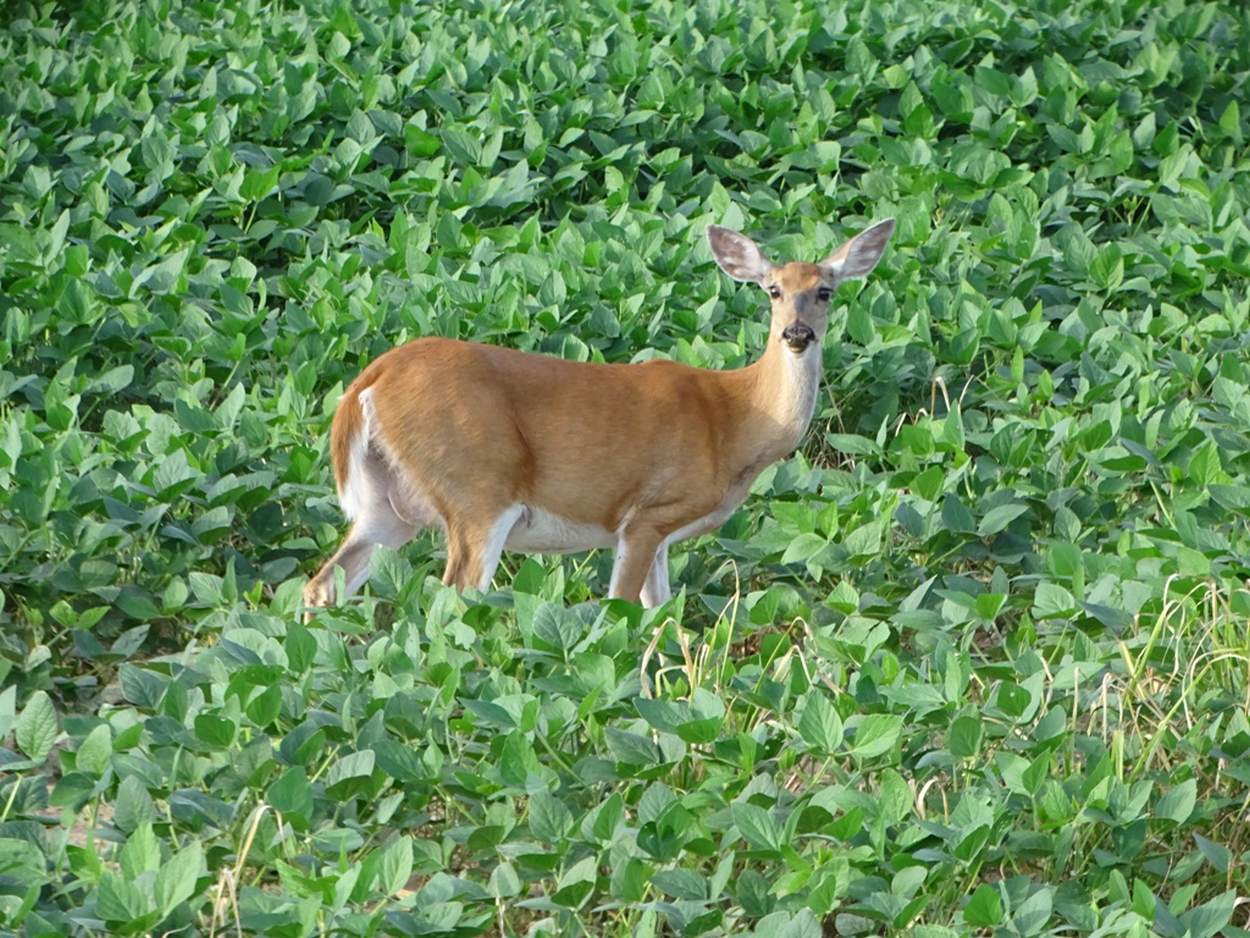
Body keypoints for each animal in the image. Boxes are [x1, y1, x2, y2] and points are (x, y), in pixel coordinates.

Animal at [301, 220, 890, 617]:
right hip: (476, 489)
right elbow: (622, 609)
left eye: (825, 291)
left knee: (325, 581)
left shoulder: (660, 535)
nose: (797, 333)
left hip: (388, 505)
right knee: (455, 595)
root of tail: (368, 383)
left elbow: (661, 614)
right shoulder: (647, 513)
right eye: (773, 290)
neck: (736, 418)